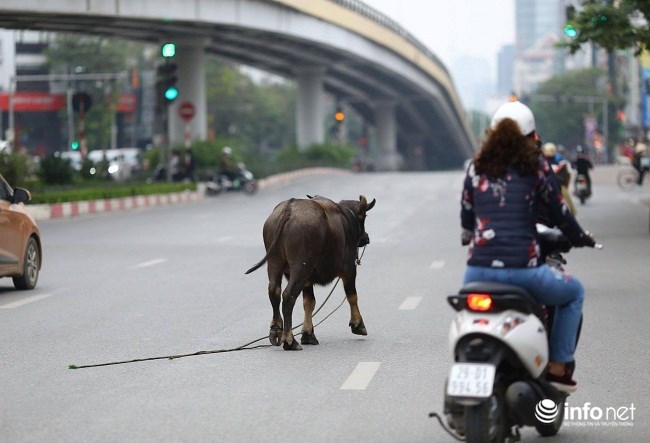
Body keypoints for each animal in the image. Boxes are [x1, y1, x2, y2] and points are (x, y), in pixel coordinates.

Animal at [243, 194, 374, 350]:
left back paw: (276, 331)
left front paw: (308, 335)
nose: (366, 238)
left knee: (274, 291)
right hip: (300, 268)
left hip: (275, 262)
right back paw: (290, 340)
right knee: (288, 295)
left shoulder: (308, 280)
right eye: (364, 216)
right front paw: (358, 325)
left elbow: (309, 303)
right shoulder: (349, 269)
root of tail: (289, 208)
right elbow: (352, 296)